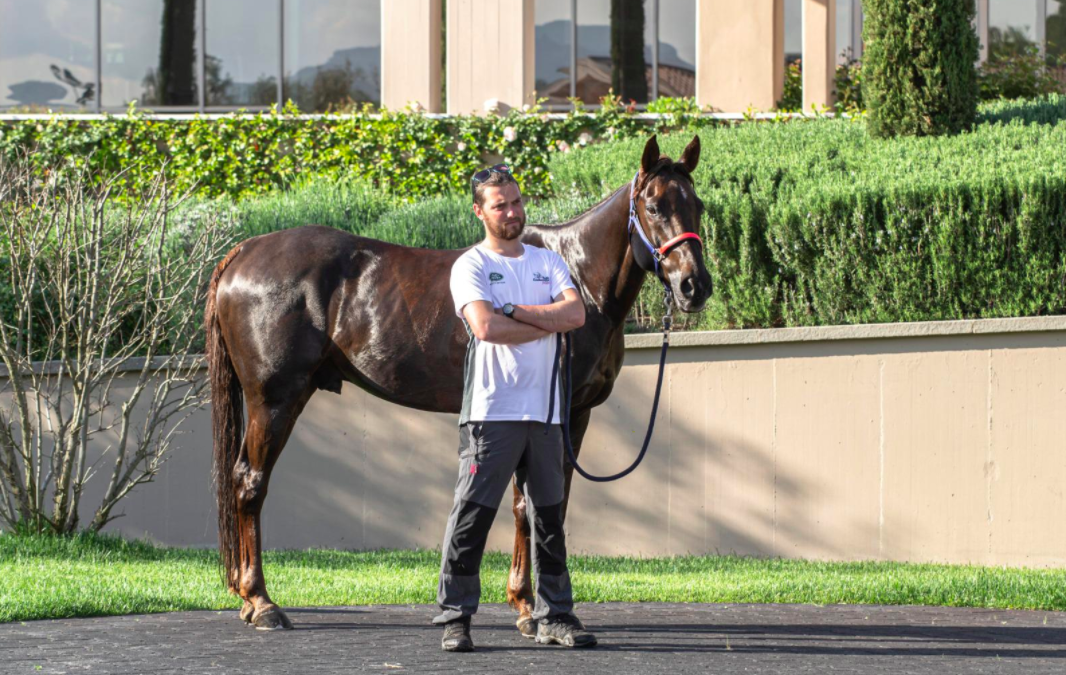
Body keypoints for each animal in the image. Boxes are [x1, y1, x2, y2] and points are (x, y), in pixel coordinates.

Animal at [203, 134, 712, 631]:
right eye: (654, 206)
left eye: (698, 205)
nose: (695, 286)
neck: (578, 277)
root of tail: (244, 252)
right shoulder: (551, 415)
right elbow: (531, 505)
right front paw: (531, 607)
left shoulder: (574, 415)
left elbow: (546, 504)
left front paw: (532, 603)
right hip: (274, 399)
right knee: (250, 483)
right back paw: (261, 602)